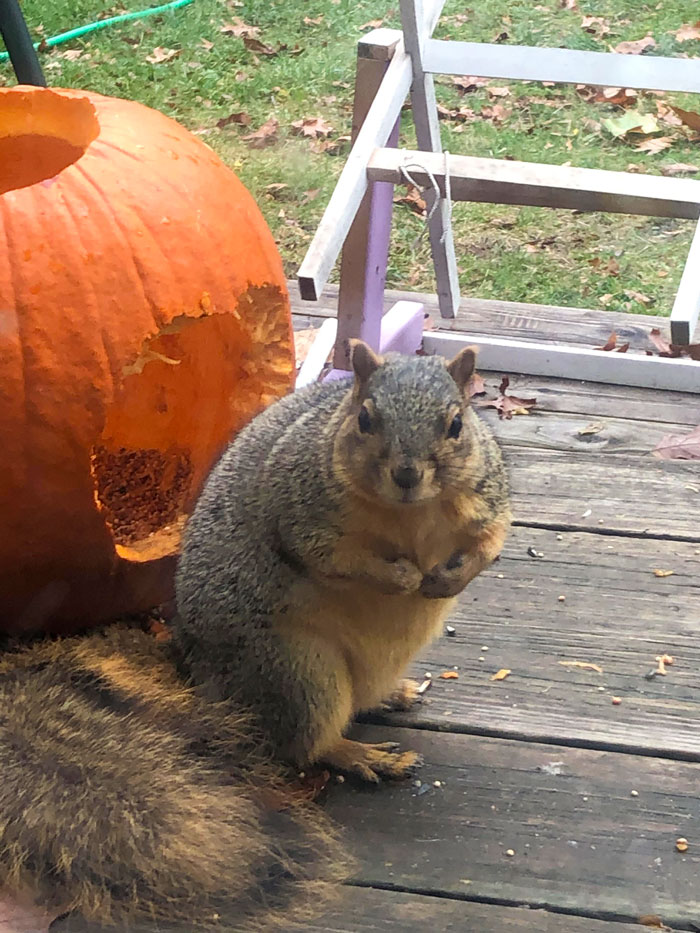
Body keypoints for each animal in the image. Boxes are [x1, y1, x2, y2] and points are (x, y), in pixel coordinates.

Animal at [0, 338, 508, 928]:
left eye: (456, 423)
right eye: (365, 418)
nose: (406, 474)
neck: (410, 513)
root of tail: (198, 674)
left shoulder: (487, 496)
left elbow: (490, 541)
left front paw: (447, 577)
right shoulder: (303, 510)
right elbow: (334, 558)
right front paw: (403, 577)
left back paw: (393, 695)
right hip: (297, 672)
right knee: (308, 743)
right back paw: (360, 755)